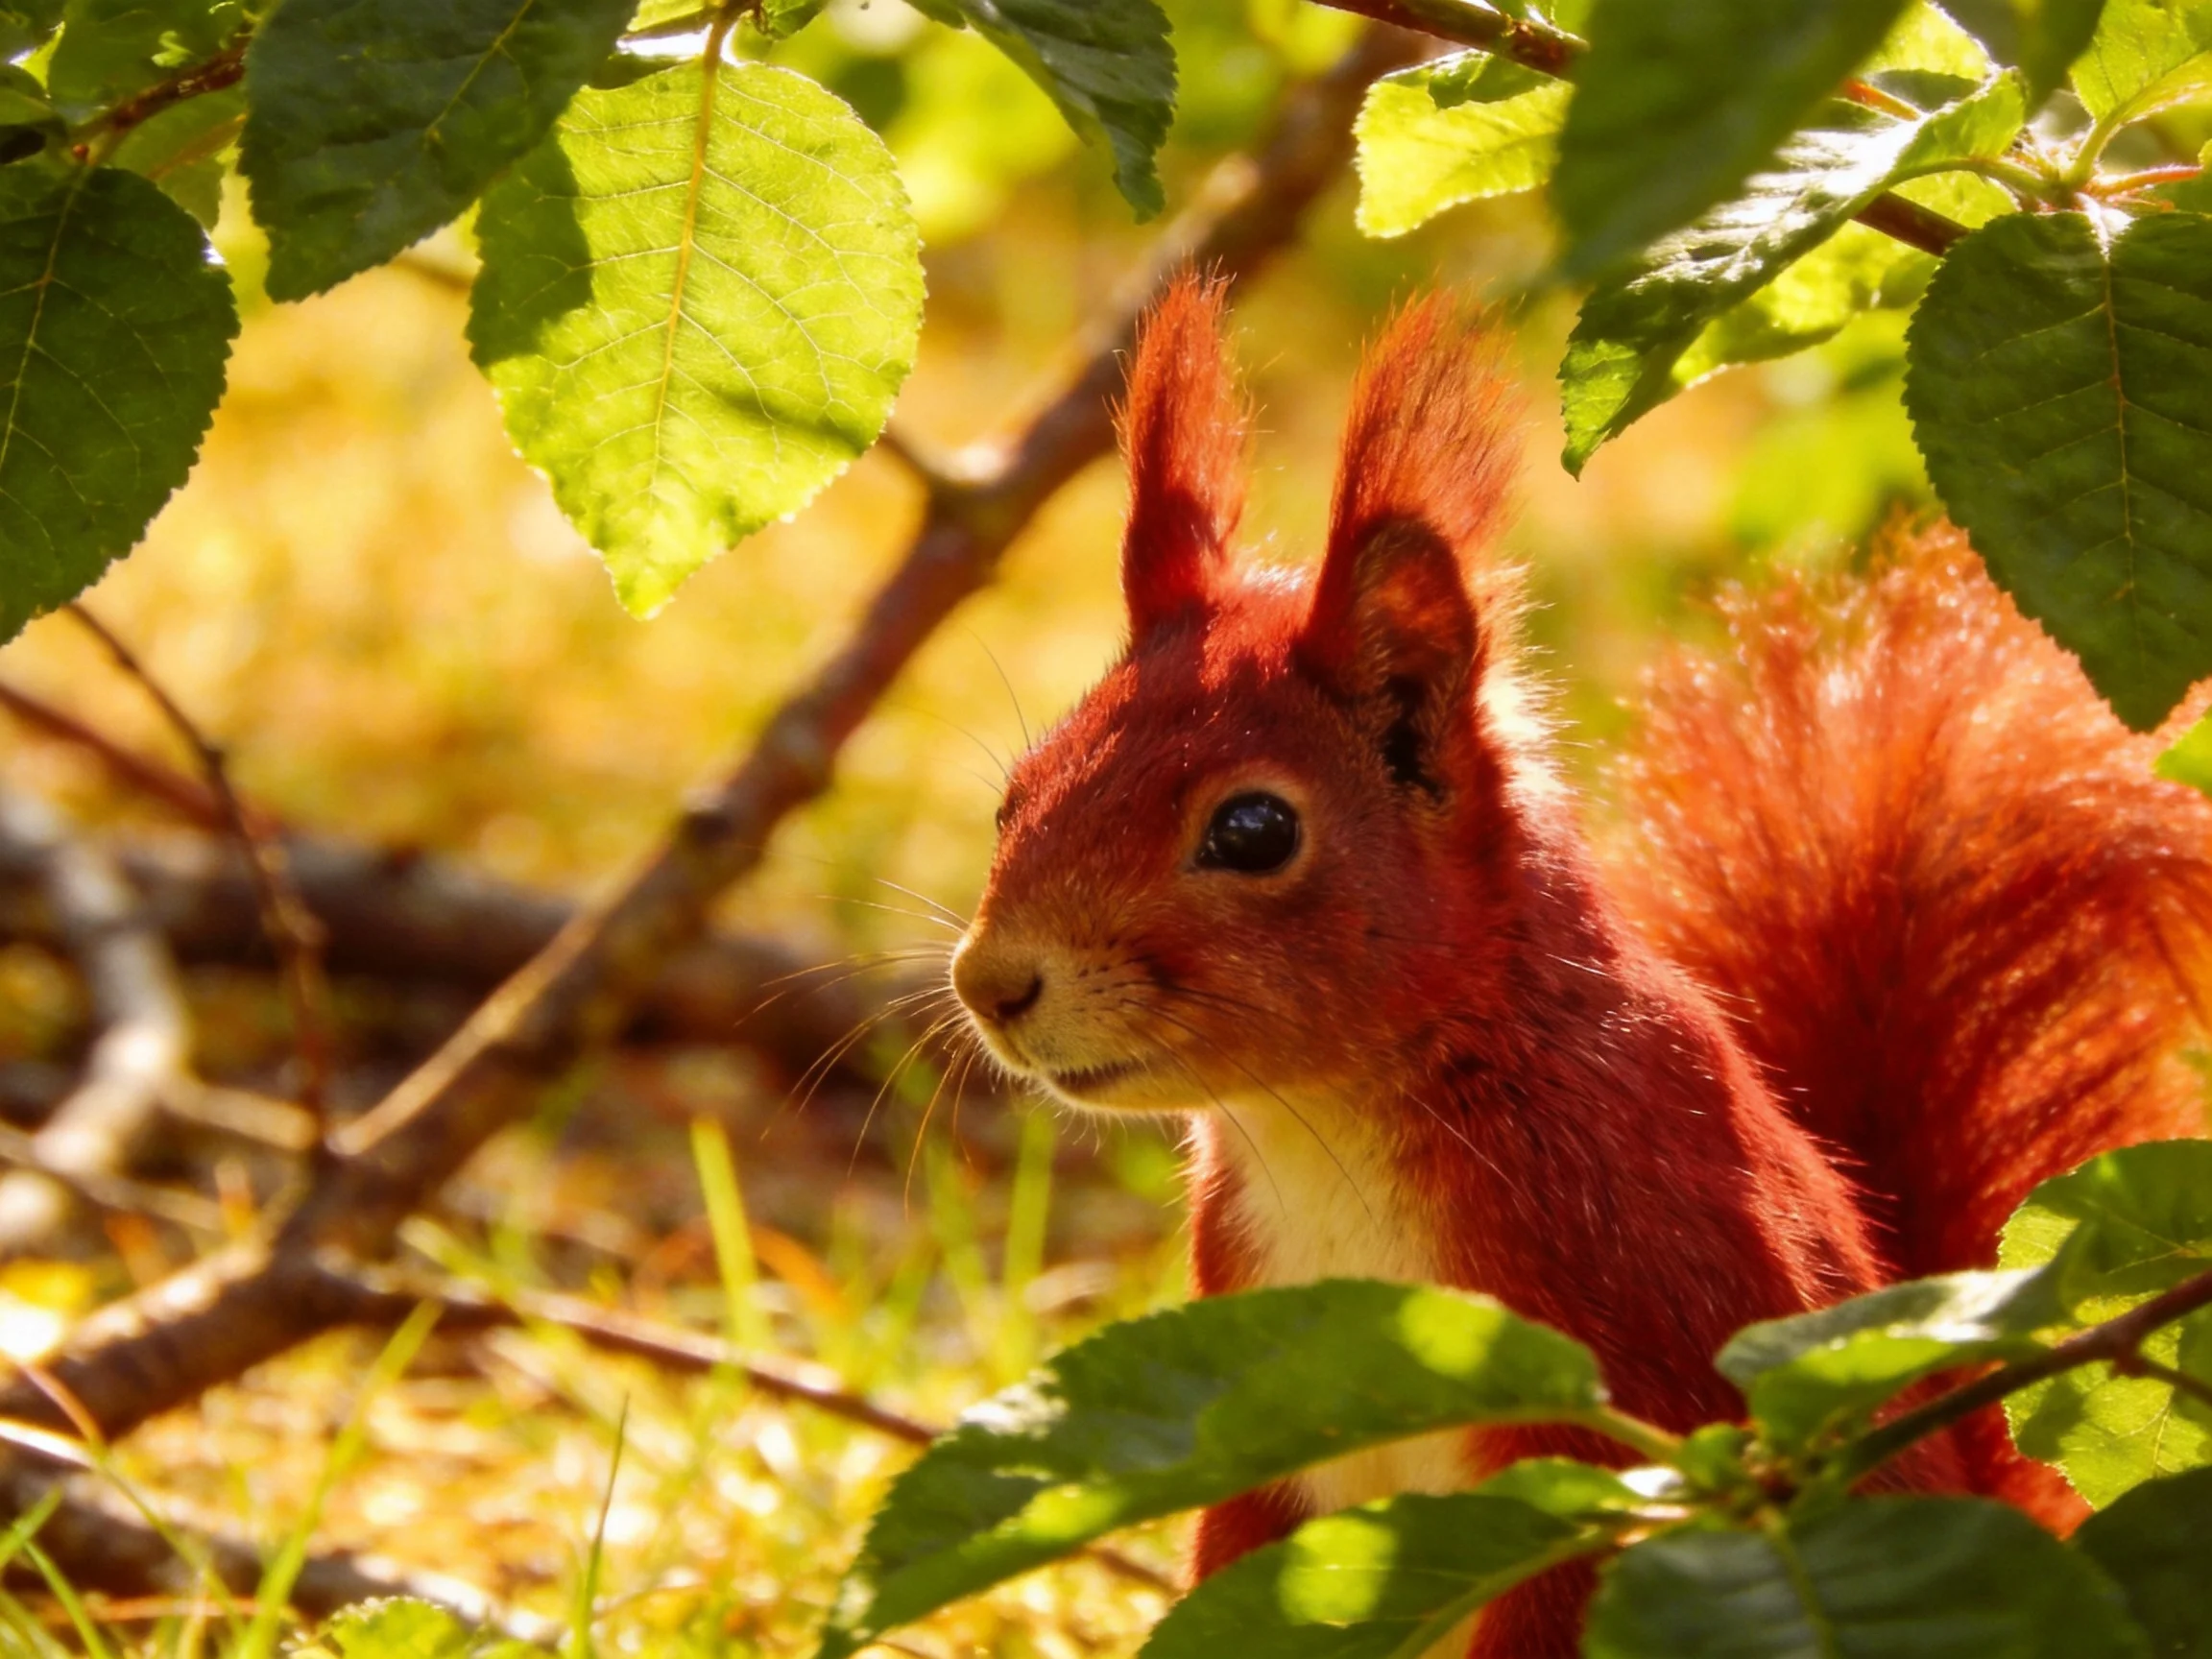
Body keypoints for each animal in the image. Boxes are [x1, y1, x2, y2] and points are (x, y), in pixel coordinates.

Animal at [946, 273, 2212, 1656]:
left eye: (1253, 830)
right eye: (1016, 792)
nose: (990, 986)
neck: (1330, 1123)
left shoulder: (1628, 1346)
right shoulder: (1258, 1406)